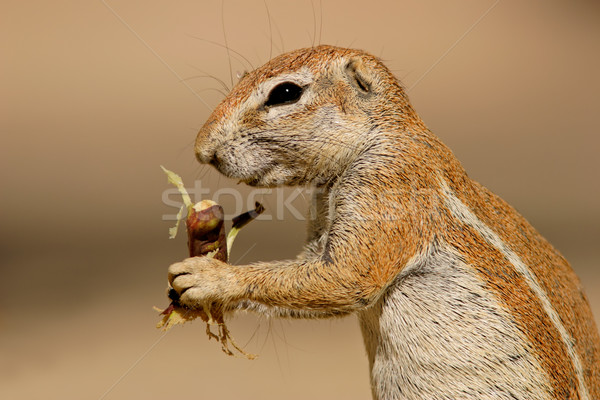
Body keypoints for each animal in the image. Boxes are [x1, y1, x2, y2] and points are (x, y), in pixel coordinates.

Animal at [169, 44, 600, 400]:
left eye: (285, 93)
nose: (202, 149)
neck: (381, 136)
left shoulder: (385, 183)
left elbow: (344, 276)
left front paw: (208, 277)